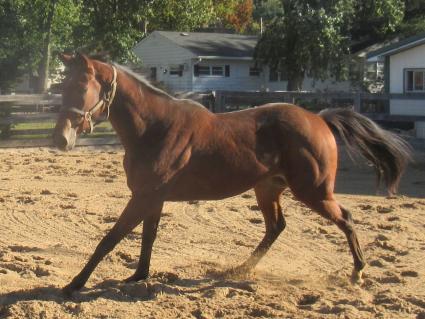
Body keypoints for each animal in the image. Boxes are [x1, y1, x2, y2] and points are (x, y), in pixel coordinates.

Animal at [53, 53, 410, 296]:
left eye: (82, 85)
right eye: (62, 85)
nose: (60, 138)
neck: (155, 128)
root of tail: (320, 118)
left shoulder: (144, 197)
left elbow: (110, 239)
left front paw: (75, 284)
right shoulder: (152, 197)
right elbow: (147, 237)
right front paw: (138, 276)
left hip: (314, 191)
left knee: (345, 218)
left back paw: (358, 273)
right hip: (268, 188)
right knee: (276, 226)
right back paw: (238, 270)